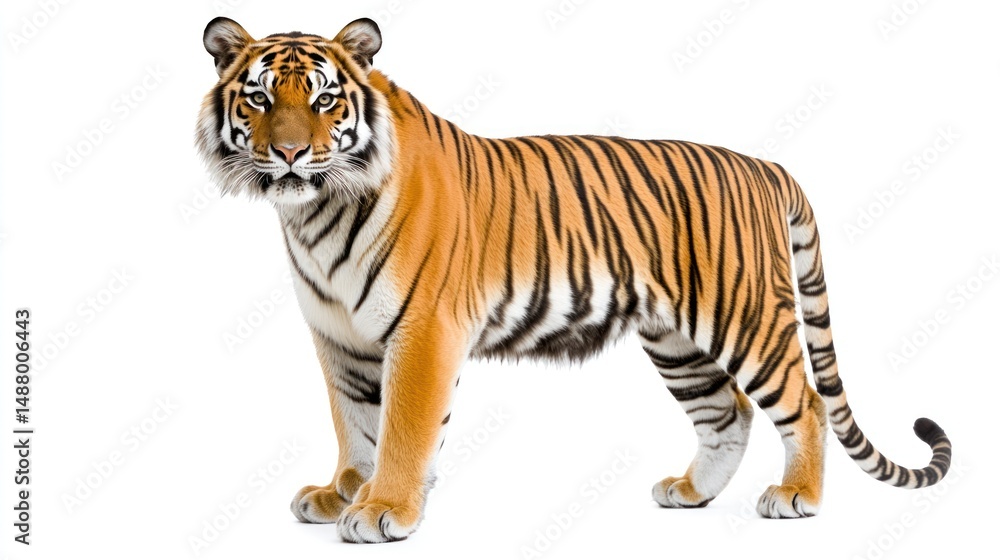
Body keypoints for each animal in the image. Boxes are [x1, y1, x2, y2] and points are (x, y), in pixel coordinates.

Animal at [196, 17, 953, 544]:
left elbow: (403, 428)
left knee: (806, 403)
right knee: (727, 411)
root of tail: (766, 166)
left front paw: (384, 509)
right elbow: (355, 423)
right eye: (259, 98)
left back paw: (797, 498)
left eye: (325, 101)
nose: (290, 154)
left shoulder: (422, 329)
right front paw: (343, 494)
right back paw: (691, 493)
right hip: (677, 342)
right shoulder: (339, 337)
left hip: (744, 318)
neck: (315, 213)